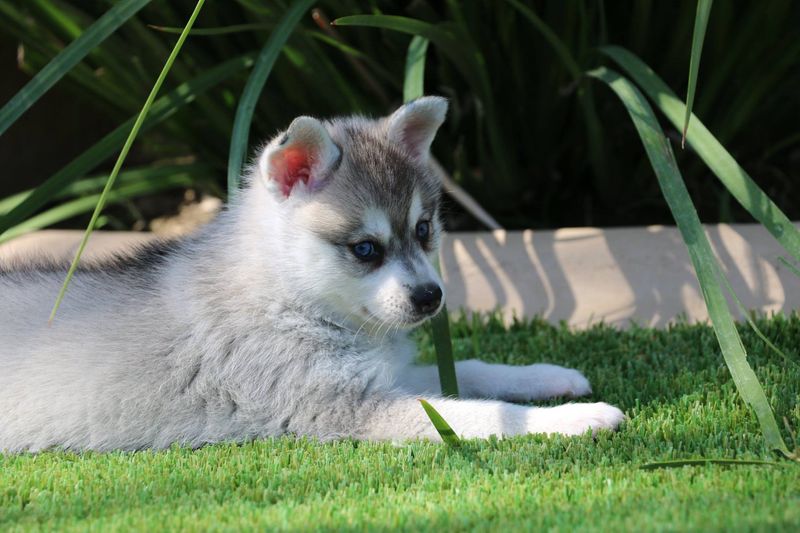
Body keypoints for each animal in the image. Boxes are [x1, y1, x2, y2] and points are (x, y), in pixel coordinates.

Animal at [0, 96, 624, 448]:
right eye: (365, 249)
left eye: (424, 229)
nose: (431, 297)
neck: (287, 297)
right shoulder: (339, 407)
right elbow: (481, 414)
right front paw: (576, 419)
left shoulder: (381, 376)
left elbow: (468, 371)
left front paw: (545, 376)